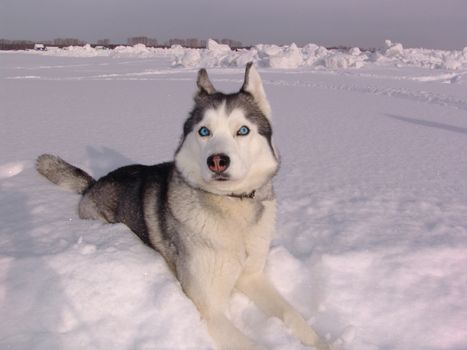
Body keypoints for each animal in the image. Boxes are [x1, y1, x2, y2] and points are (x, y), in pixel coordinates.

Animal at [36, 63, 330, 350]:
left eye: (243, 130)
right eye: (204, 131)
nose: (217, 161)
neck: (232, 208)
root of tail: (94, 183)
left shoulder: (252, 275)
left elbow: (292, 314)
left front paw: (323, 342)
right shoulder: (210, 310)